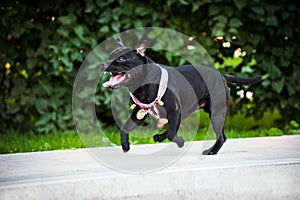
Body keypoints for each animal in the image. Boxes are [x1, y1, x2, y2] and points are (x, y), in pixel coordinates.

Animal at [102, 38, 262, 155]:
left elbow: (172, 133)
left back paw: (212, 151)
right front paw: (125, 145)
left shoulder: (175, 112)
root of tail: (221, 76)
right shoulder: (138, 114)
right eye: (109, 56)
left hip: (216, 113)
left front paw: (179, 141)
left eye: (121, 59)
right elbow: (124, 128)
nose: (102, 64)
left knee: (221, 136)